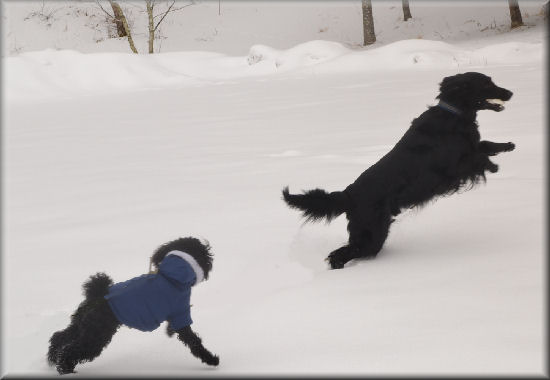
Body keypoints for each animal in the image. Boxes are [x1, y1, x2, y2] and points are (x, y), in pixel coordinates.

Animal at [47, 238, 220, 374]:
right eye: (203, 252)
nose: (210, 256)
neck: (172, 277)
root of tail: (98, 295)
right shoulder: (180, 313)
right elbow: (194, 342)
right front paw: (212, 359)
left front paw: (169, 332)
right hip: (96, 335)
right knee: (71, 350)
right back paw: (66, 369)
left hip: (81, 325)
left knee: (59, 336)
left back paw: (52, 359)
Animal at [284, 72, 516, 270]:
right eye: (486, 84)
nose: (510, 93)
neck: (453, 115)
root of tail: (349, 194)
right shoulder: (453, 168)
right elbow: (478, 158)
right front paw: (494, 166)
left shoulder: (469, 149)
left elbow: (485, 144)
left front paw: (508, 145)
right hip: (372, 233)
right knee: (342, 253)